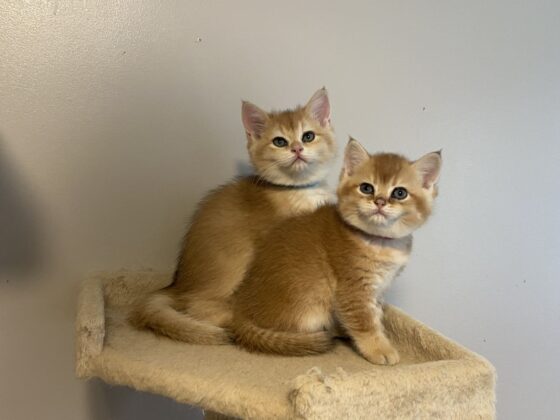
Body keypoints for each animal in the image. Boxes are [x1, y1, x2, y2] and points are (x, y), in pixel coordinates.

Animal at [131, 88, 336, 344]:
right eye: (279, 142)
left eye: (308, 136)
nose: (297, 149)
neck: (298, 190)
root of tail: (177, 285)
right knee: (200, 308)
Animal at [230, 138, 440, 364]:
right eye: (366, 188)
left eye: (400, 193)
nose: (380, 201)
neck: (378, 242)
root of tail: (240, 311)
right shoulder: (353, 290)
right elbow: (366, 323)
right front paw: (380, 349)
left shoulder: (377, 289)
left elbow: (376, 315)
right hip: (311, 306)